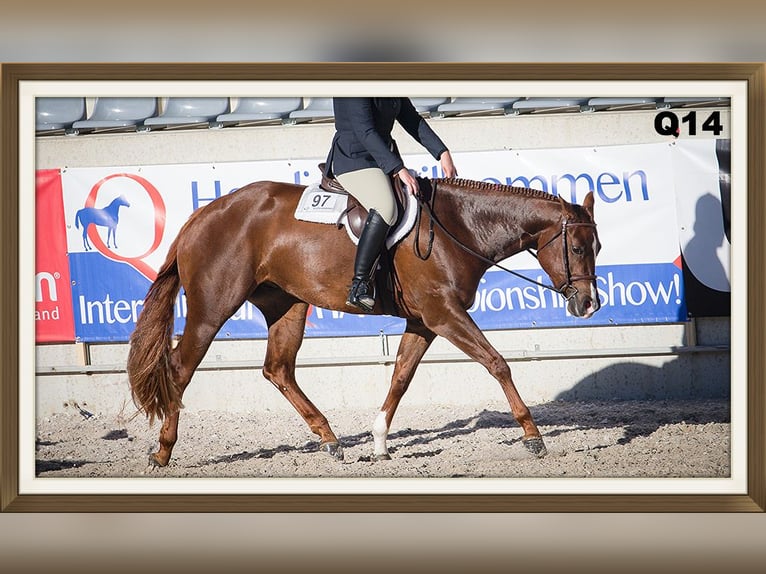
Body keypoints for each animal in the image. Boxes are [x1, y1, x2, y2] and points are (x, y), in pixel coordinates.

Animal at [127, 177, 600, 468]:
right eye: (577, 249)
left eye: (595, 246)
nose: (589, 305)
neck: (458, 228)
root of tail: (203, 215)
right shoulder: (443, 314)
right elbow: (497, 363)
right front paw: (533, 436)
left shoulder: (424, 322)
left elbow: (401, 377)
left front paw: (379, 442)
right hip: (212, 309)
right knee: (179, 368)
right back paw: (163, 452)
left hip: (287, 305)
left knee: (278, 369)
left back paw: (330, 439)